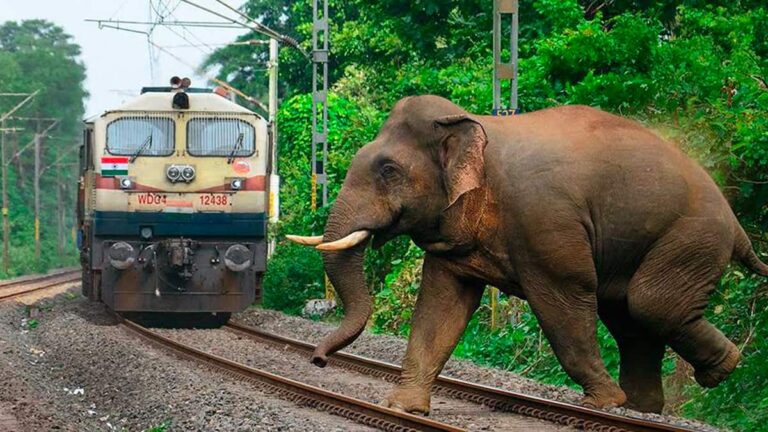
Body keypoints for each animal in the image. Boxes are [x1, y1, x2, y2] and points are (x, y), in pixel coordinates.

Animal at [287, 95, 768, 414]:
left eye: (389, 171)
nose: (318, 359)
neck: (473, 125)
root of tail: (738, 226)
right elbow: (442, 304)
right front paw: (403, 408)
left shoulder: (545, 221)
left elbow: (563, 299)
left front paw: (599, 403)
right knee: (629, 314)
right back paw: (644, 407)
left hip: (692, 236)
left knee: (650, 304)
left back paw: (717, 371)